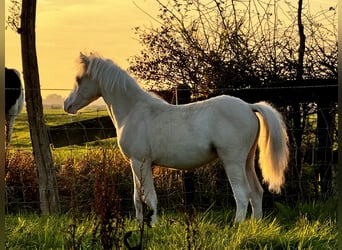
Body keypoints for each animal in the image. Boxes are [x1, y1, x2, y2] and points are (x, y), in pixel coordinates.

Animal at [64, 52, 288, 223]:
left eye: (78, 80)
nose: (67, 105)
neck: (134, 111)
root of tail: (249, 107)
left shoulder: (140, 162)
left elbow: (148, 197)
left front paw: (153, 225)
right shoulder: (137, 164)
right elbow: (138, 197)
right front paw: (140, 224)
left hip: (232, 161)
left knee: (242, 194)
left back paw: (237, 226)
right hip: (247, 161)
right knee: (256, 193)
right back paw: (255, 225)